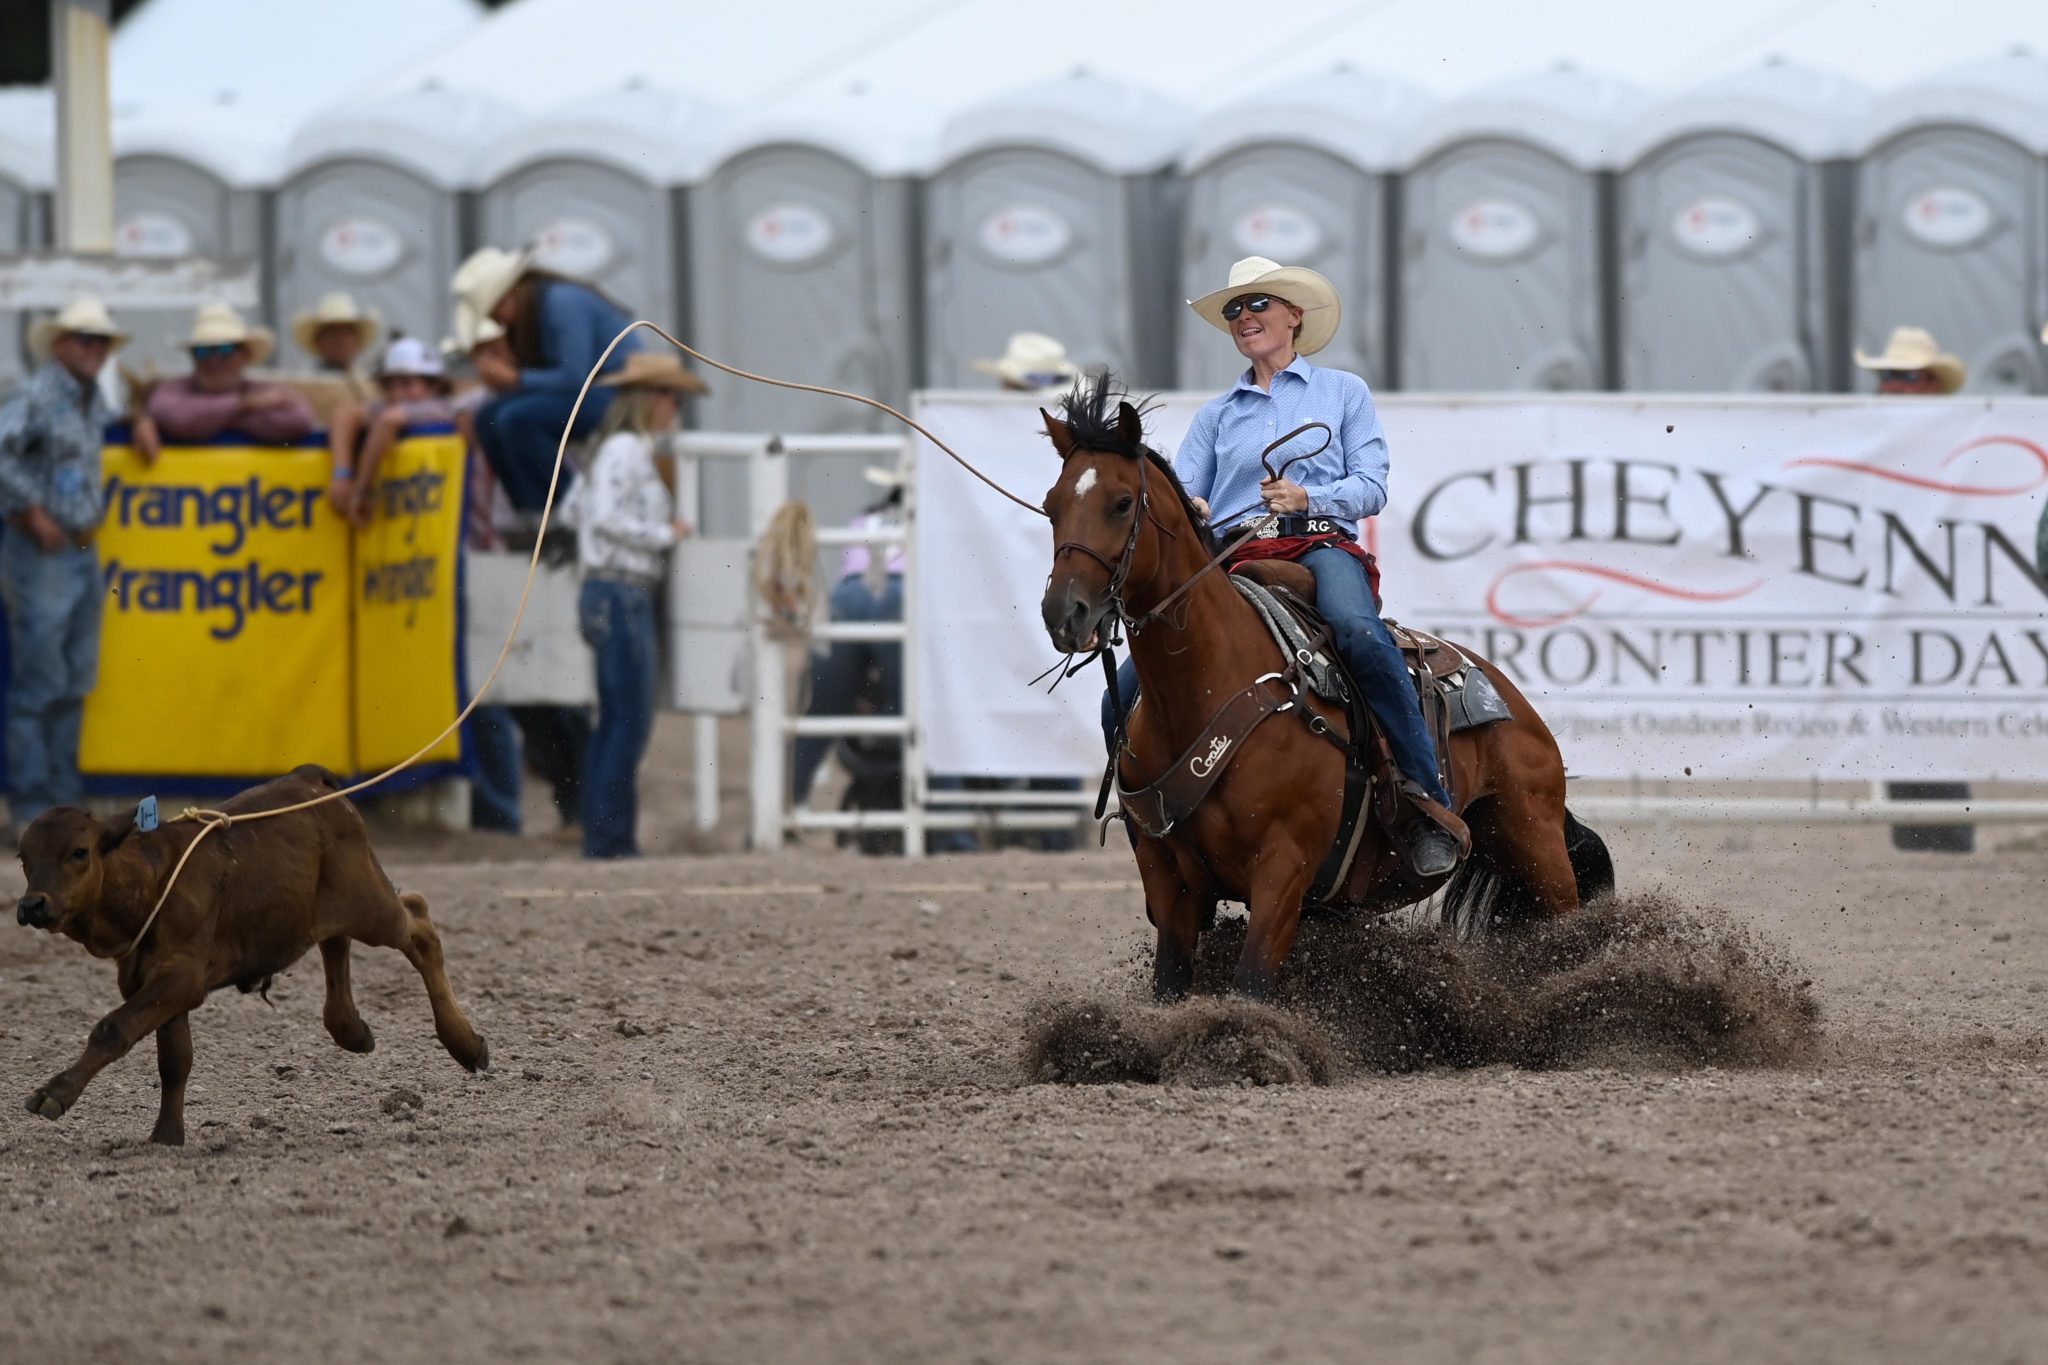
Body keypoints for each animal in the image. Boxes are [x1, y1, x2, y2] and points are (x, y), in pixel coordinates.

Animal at [16, 769, 485, 1146]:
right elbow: (175, 1060)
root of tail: (310, 778)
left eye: (79, 851)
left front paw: (54, 1094)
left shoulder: (180, 977)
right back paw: (352, 1029)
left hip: (371, 905)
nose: (33, 905)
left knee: (419, 927)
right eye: (23, 857)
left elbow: (114, 1029)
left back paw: (465, 1043)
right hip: (323, 905)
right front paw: (166, 1135)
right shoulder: (156, 985)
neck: (151, 878)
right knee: (336, 942)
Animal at [1040, 384, 1613, 1002]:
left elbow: (1251, 985)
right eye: (1051, 505)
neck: (1210, 686)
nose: (1063, 614)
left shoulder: (1282, 871)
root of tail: (1508, 697)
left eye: (1122, 503)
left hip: (1534, 841)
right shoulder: (1170, 880)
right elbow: (1171, 983)